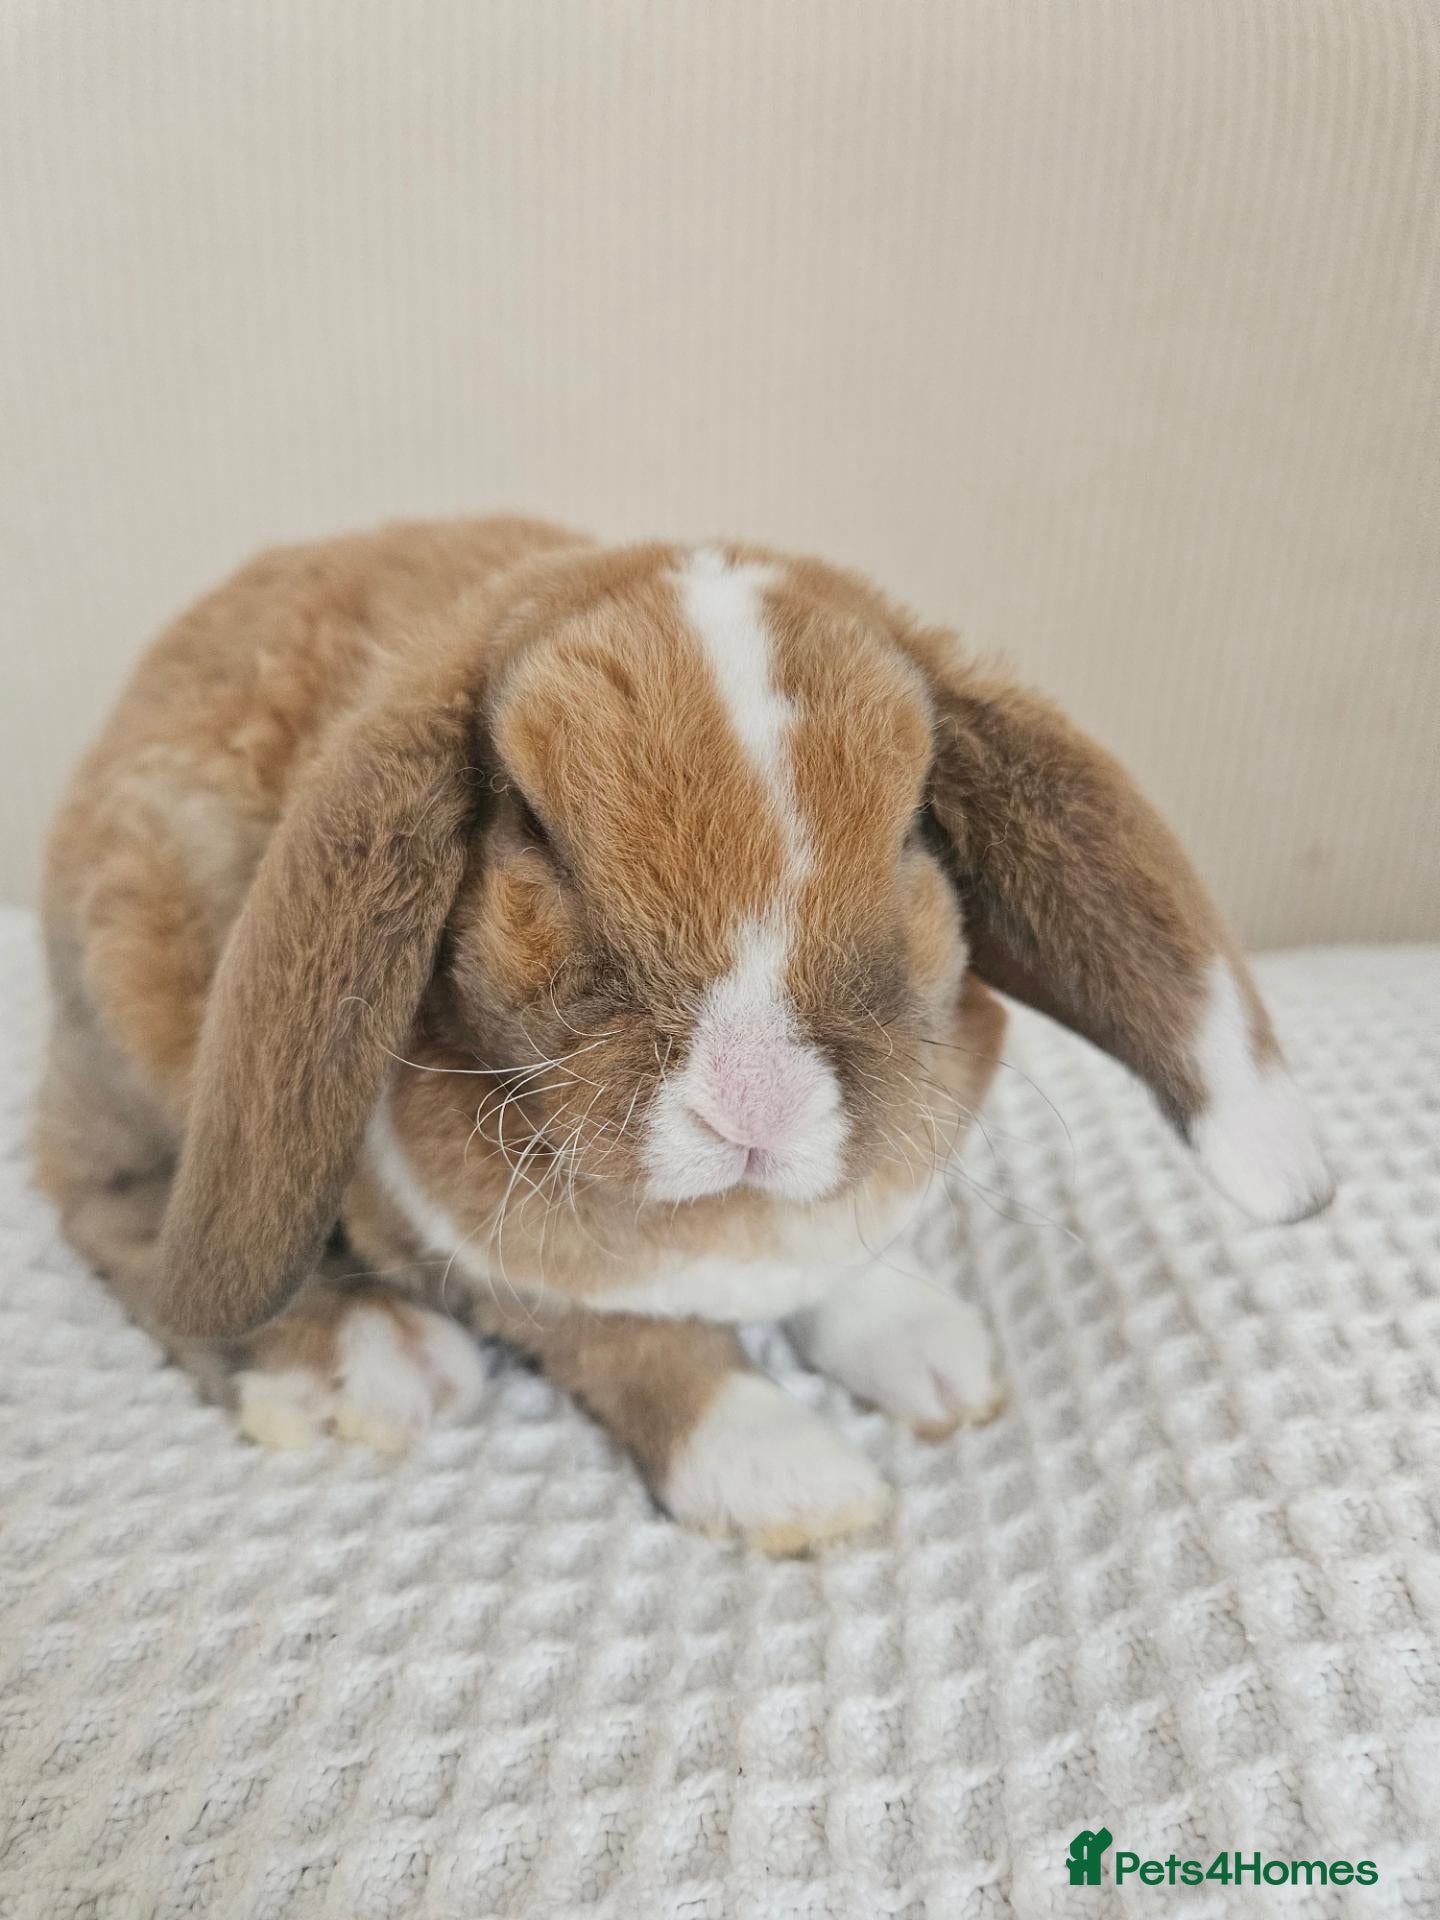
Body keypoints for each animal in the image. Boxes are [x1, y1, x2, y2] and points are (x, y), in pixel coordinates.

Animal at [35, 516, 1333, 1551]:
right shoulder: (507, 1275)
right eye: (533, 827)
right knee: (119, 1213)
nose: (757, 1102)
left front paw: (934, 1354)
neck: (735, 1219)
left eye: (917, 823)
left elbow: (840, 1267)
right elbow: (643, 1350)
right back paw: (370, 1362)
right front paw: (791, 1482)